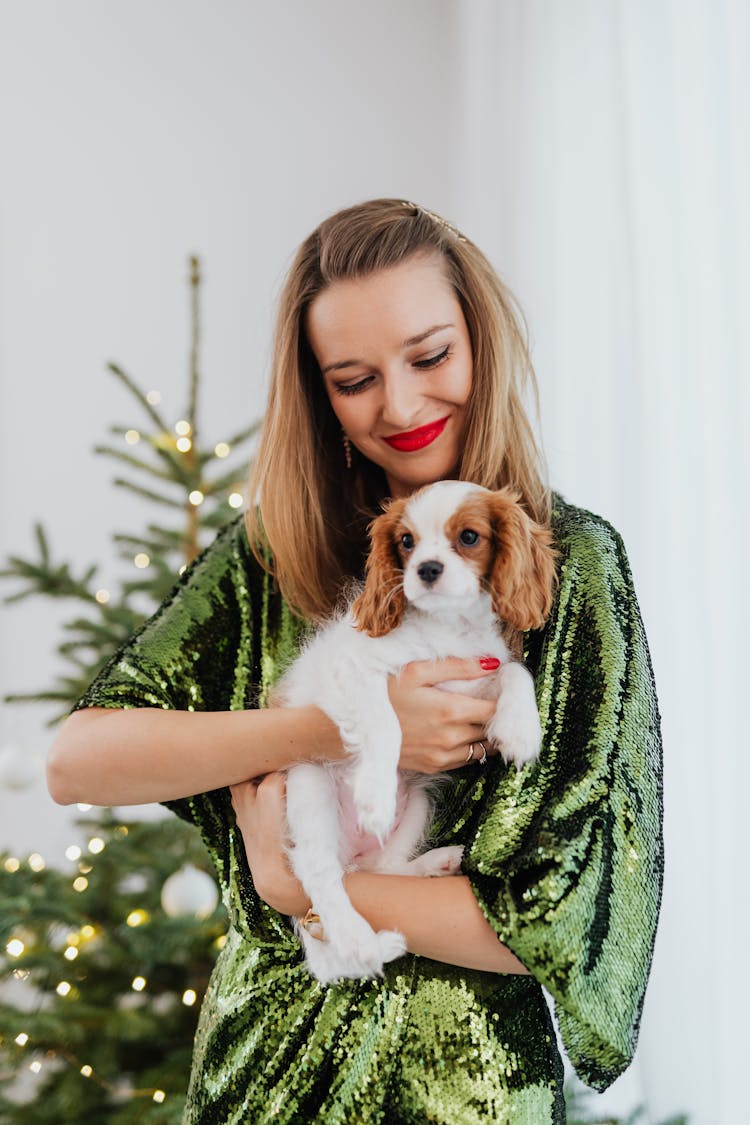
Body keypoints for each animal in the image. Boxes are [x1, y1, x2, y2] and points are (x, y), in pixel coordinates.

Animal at [275, 479, 557, 981]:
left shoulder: (474, 680)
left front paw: (521, 728)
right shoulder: (359, 672)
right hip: (309, 786)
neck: (447, 627)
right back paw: (361, 943)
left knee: (381, 871)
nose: (426, 569)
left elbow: (514, 672)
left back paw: (434, 863)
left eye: (469, 537)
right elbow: (386, 722)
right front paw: (375, 797)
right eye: (406, 542)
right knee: (321, 873)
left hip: (420, 805)